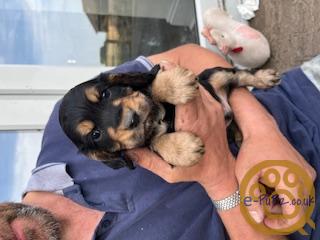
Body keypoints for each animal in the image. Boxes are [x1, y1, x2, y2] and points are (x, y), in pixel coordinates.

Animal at [58, 63, 278, 169]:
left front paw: (176, 84)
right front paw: (185, 150)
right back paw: (239, 136)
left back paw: (265, 77)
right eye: (95, 134)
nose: (132, 119)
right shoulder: (147, 144)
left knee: (240, 75)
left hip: (216, 75)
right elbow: (156, 142)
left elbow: (152, 88)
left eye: (106, 93)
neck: (154, 119)